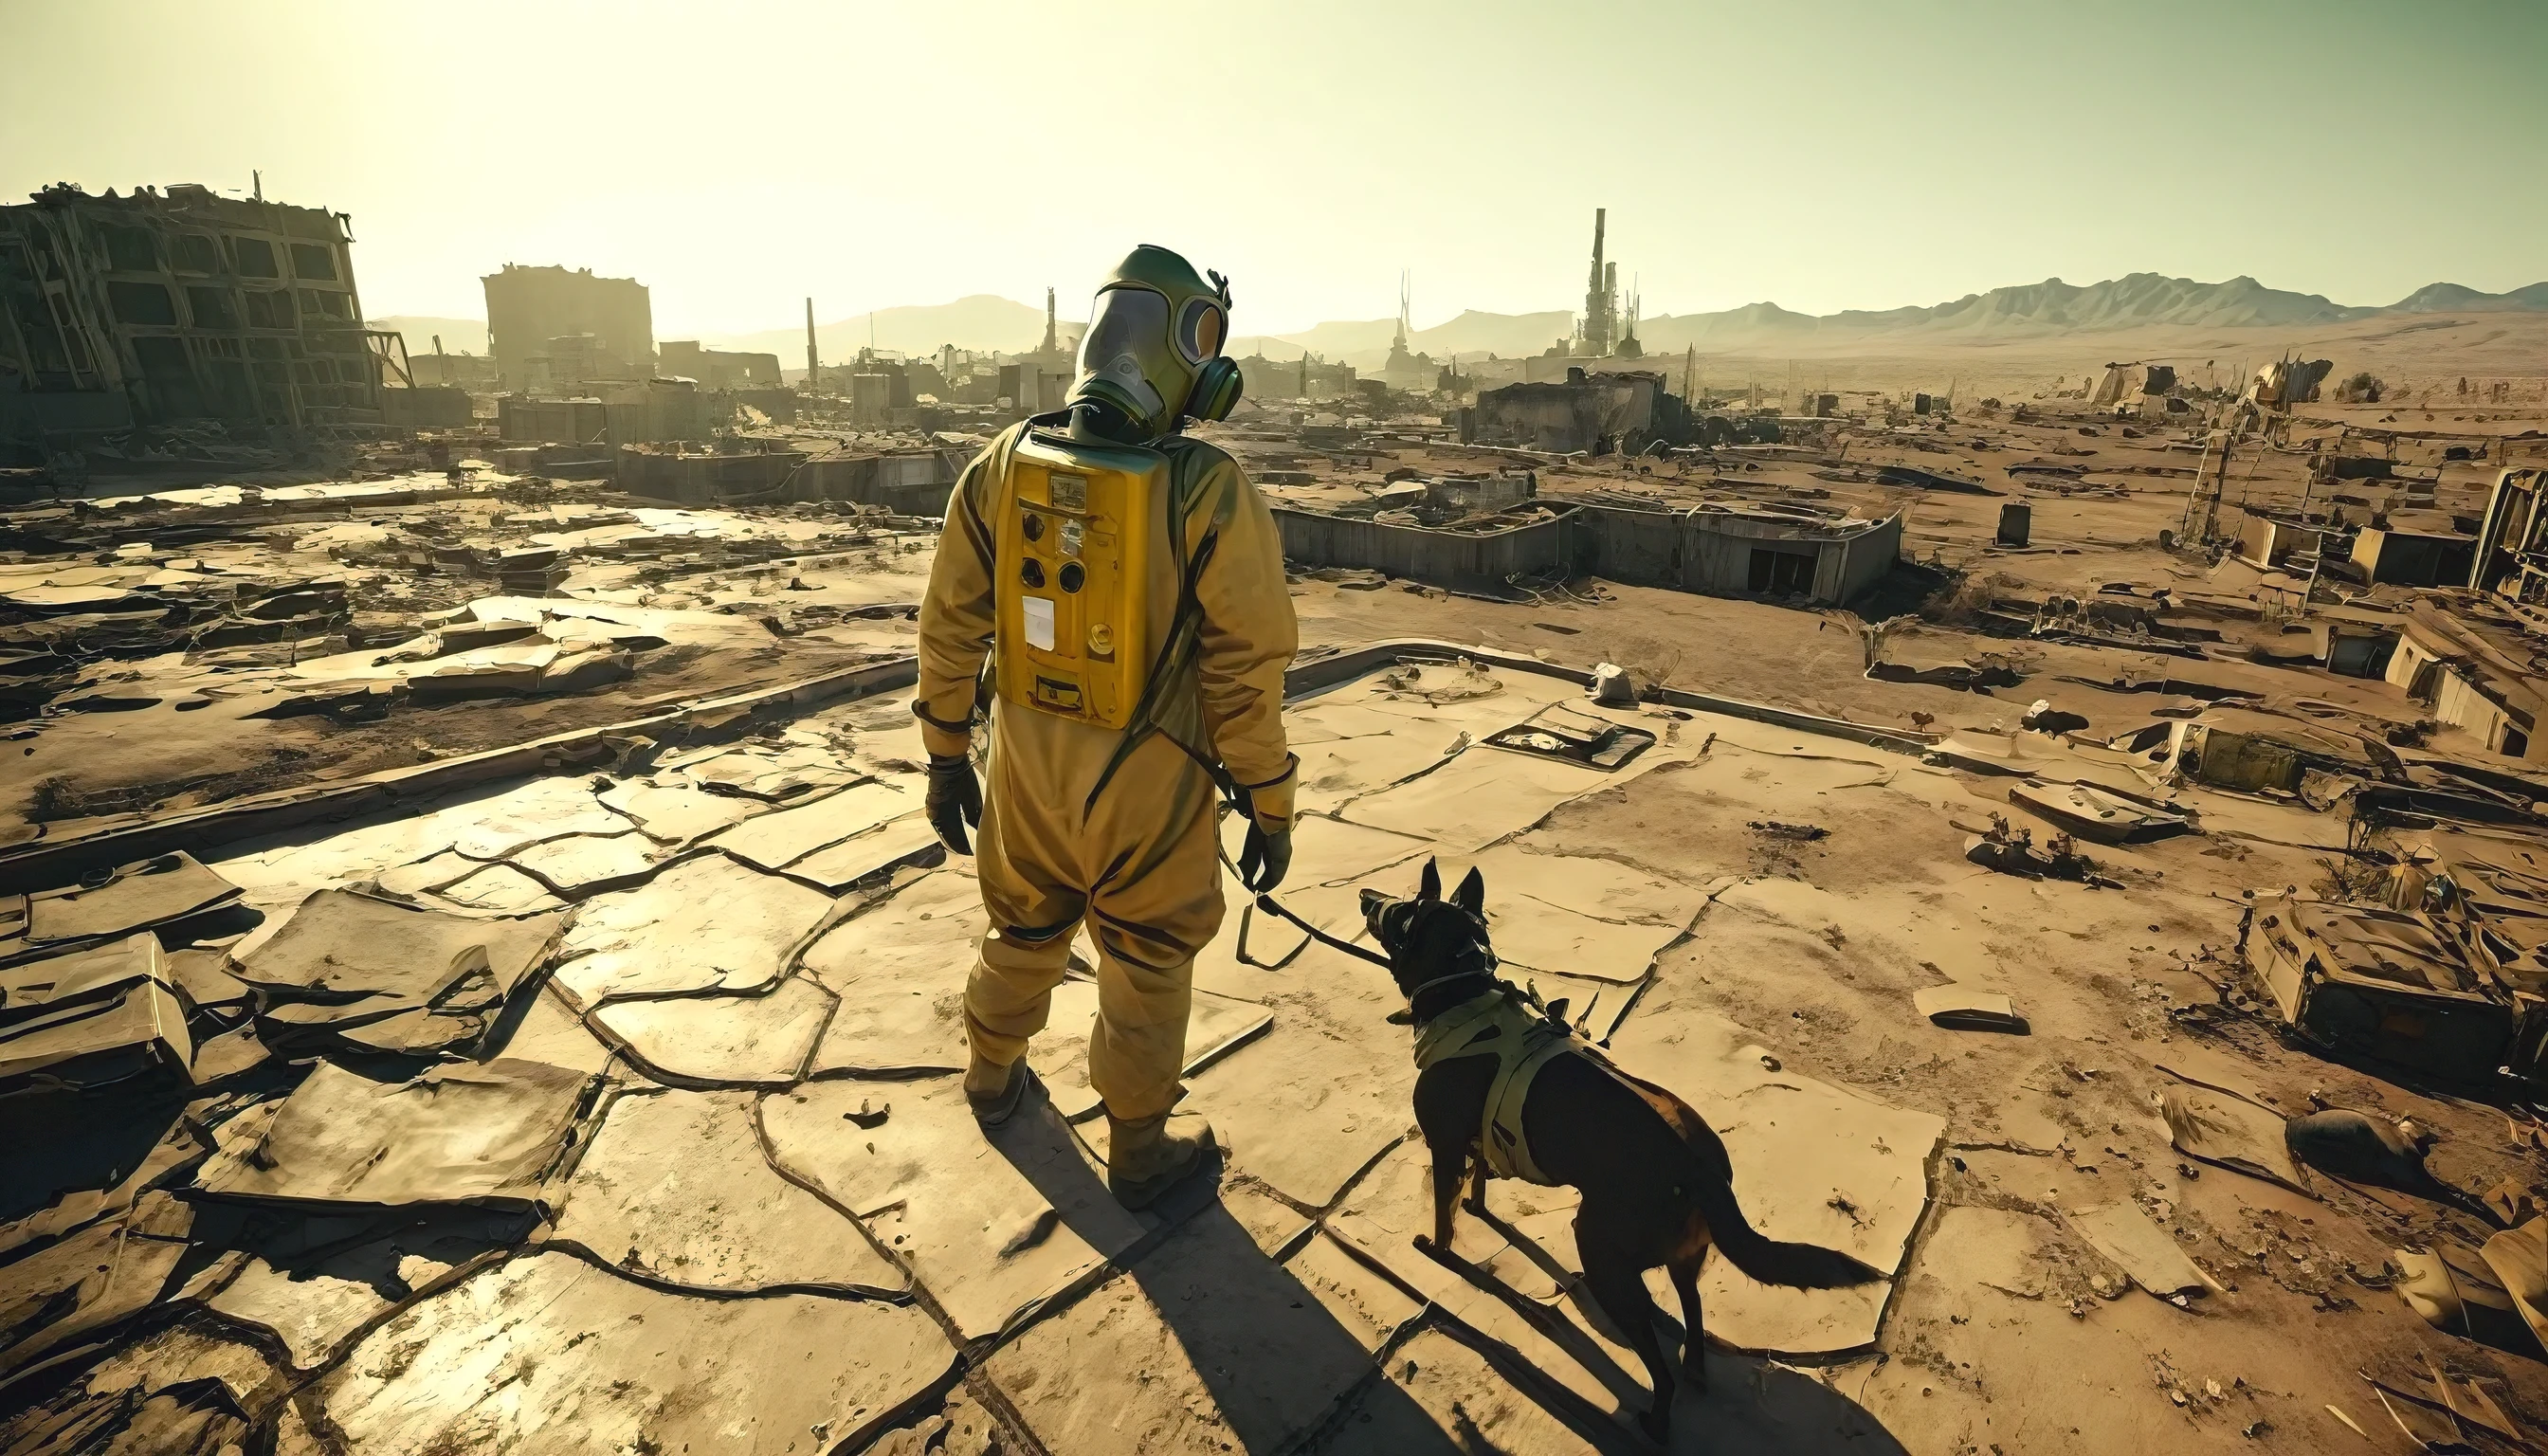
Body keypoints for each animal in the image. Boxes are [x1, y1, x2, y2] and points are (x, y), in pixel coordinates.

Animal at [1365, 862, 1885, 1438]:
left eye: (1403, 911)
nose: (1366, 897)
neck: (1464, 995)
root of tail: (1702, 1172)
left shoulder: (1444, 1147)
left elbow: (1445, 1216)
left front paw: (1437, 1250)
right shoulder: (1476, 1142)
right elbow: (1478, 1184)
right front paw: (1480, 1209)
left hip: (1600, 1253)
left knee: (1660, 1369)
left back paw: (1654, 1423)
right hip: (1677, 1258)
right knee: (1693, 1314)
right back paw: (1693, 1367)